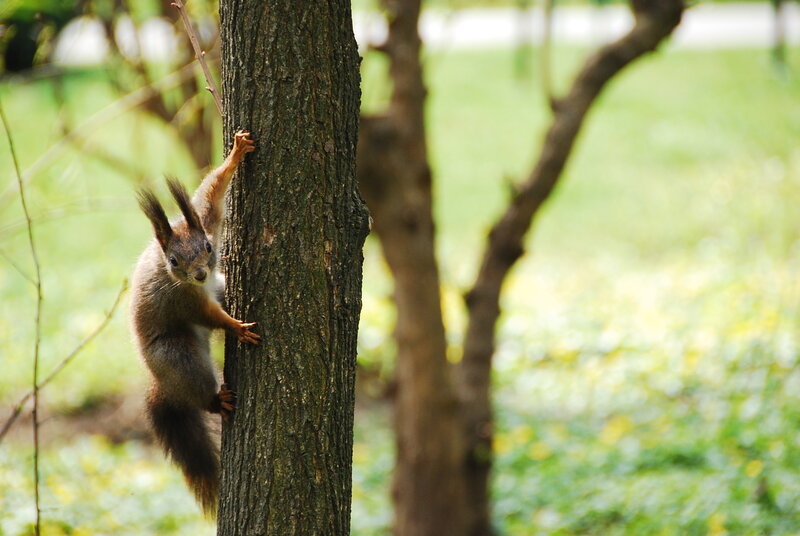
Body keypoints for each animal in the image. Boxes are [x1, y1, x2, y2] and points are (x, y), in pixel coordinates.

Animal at [130, 130, 260, 515]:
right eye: (173, 261)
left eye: (207, 246)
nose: (201, 274)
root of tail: (162, 384)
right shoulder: (183, 300)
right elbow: (209, 315)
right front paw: (237, 328)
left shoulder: (205, 219)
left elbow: (212, 195)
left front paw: (235, 154)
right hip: (179, 359)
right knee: (199, 386)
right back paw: (218, 401)